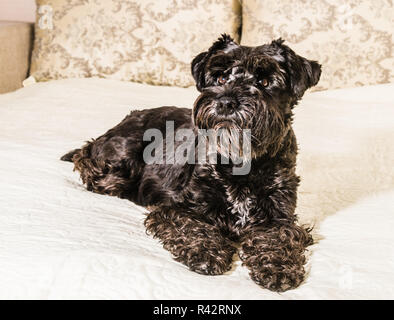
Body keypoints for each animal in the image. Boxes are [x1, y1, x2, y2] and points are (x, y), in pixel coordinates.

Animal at [60, 35, 320, 292]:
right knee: (86, 160)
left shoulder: (280, 219)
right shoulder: (176, 210)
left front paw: (277, 267)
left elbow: (279, 238)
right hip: (120, 160)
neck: (240, 166)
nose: (226, 102)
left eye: (264, 81)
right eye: (221, 77)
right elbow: (194, 228)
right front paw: (206, 252)